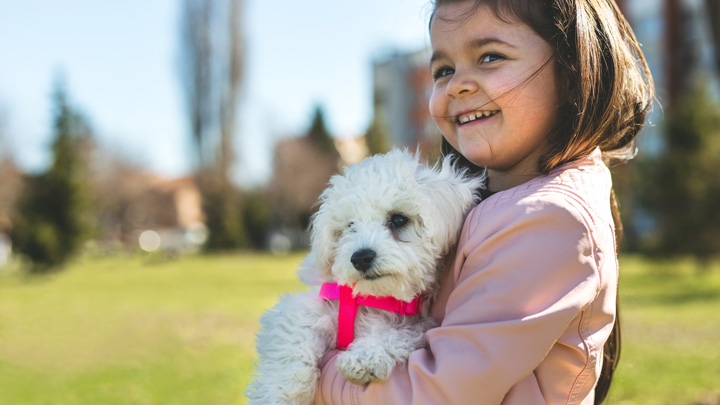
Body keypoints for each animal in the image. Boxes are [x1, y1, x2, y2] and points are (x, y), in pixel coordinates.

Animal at [246, 149, 484, 404]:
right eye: (350, 226)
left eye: (398, 219)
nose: (360, 258)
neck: (371, 299)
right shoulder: (309, 306)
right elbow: (293, 343)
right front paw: (278, 395)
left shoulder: (418, 324)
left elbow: (397, 335)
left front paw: (366, 358)